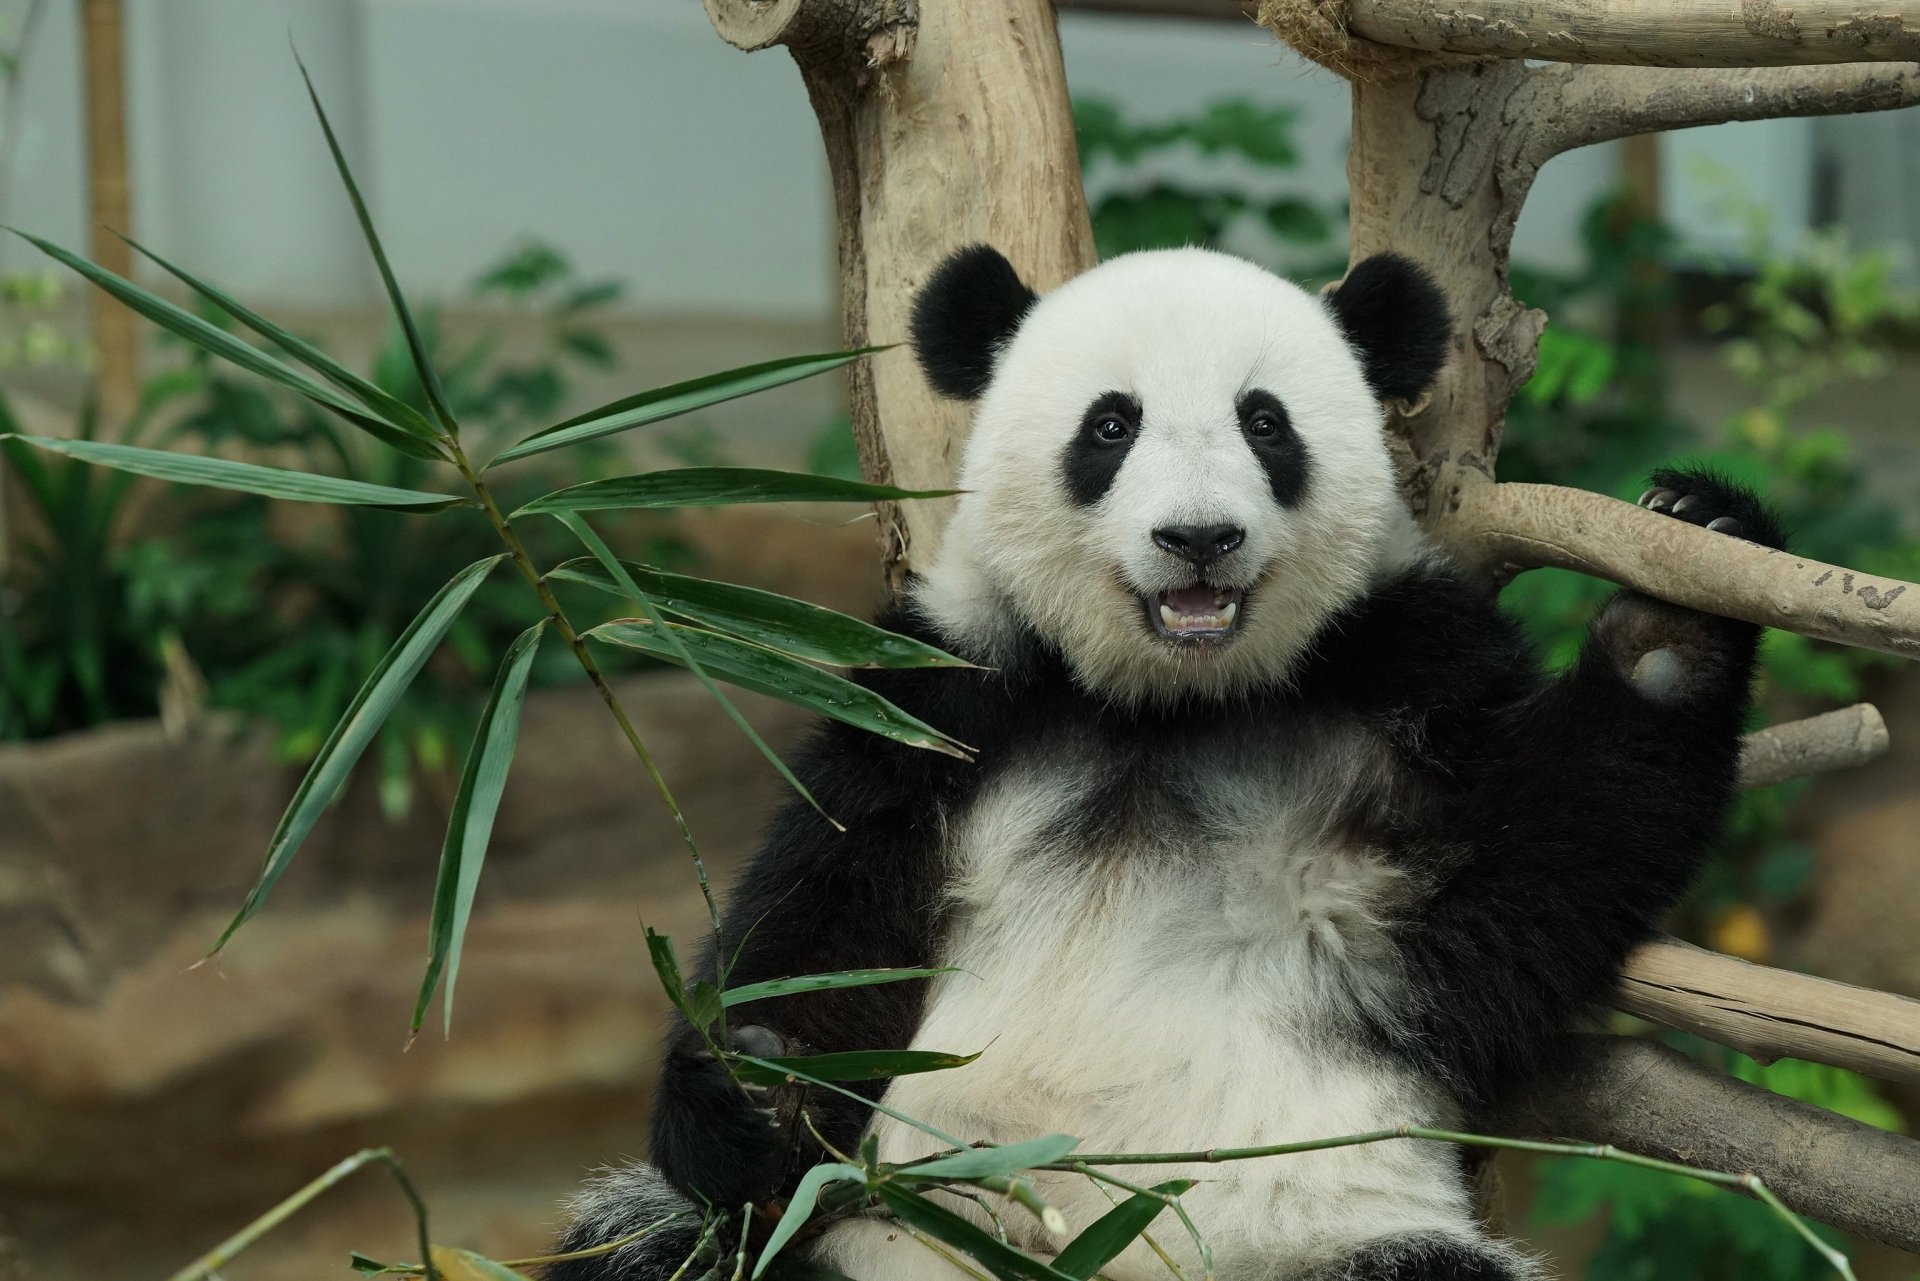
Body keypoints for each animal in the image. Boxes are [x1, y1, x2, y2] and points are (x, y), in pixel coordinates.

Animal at [550, 244, 1782, 1281]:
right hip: (874, 1239)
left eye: (1266, 422)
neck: (1167, 702)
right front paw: (755, 1088)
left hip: (1326, 1242)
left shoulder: (1409, 682)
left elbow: (1535, 858)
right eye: (1110, 426)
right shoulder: (946, 706)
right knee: (656, 1247)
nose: (1199, 539)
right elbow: (827, 919)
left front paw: (1683, 592)